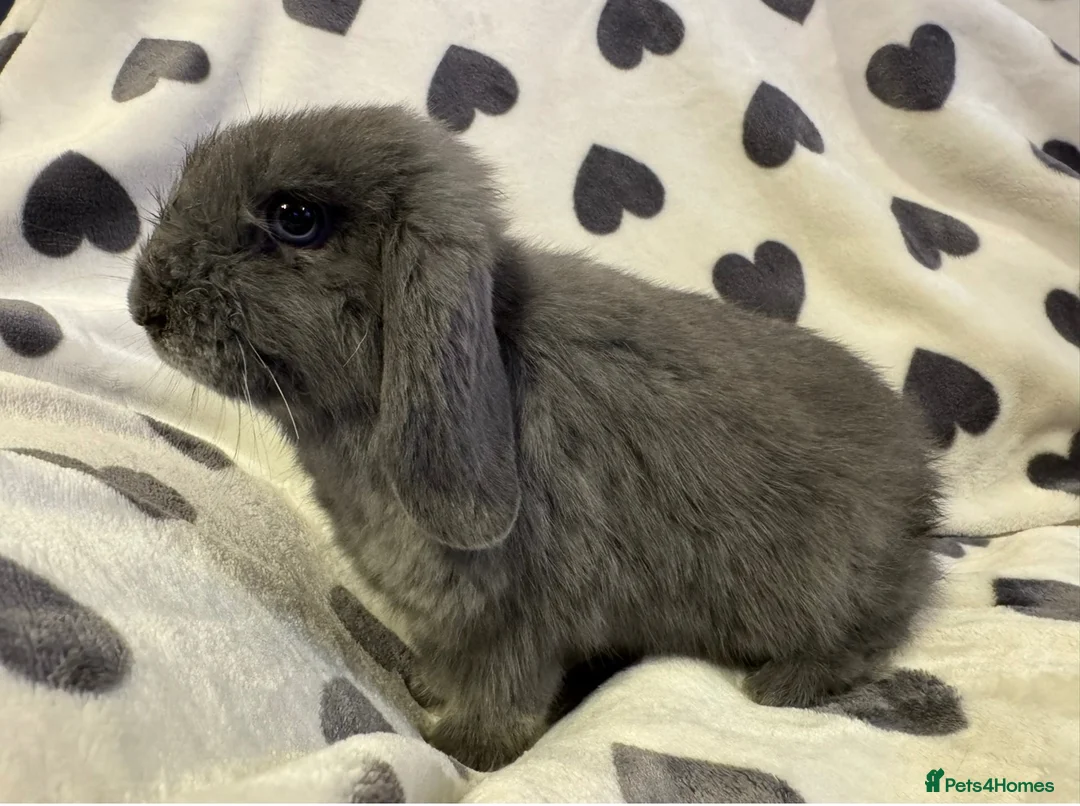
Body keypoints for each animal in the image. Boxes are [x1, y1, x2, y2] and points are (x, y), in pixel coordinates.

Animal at [128, 104, 942, 772]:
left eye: (295, 217)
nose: (144, 304)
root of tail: (922, 485)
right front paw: (425, 685)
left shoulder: (521, 619)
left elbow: (503, 693)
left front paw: (462, 749)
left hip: (835, 589)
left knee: (873, 633)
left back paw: (780, 684)